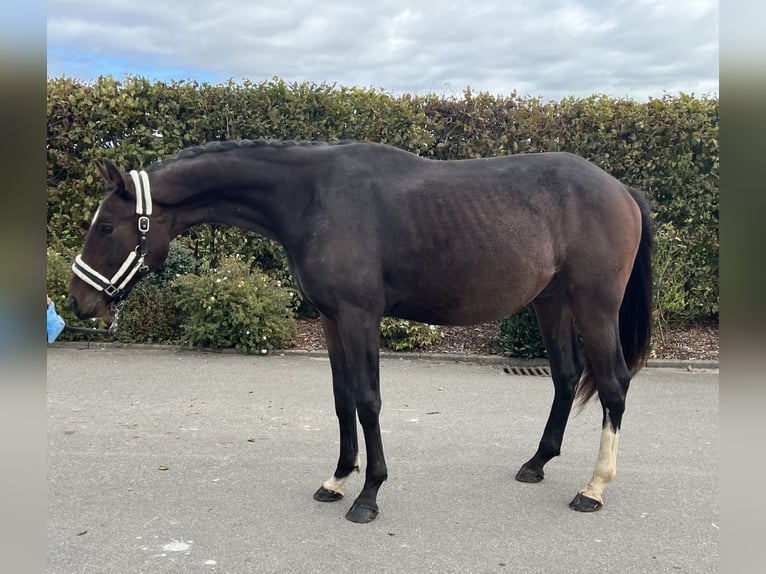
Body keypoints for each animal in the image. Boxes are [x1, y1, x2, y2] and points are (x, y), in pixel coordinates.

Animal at [67, 139, 653, 523]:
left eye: (106, 226)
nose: (77, 301)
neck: (313, 197)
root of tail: (621, 188)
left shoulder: (359, 317)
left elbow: (368, 400)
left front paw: (369, 495)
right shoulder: (332, 320)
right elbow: (342, 397)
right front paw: (337, 479)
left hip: (594, 306)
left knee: (613, 386)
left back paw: (594, 487)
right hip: (551, 303)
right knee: (566, 376)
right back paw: (536, 463)